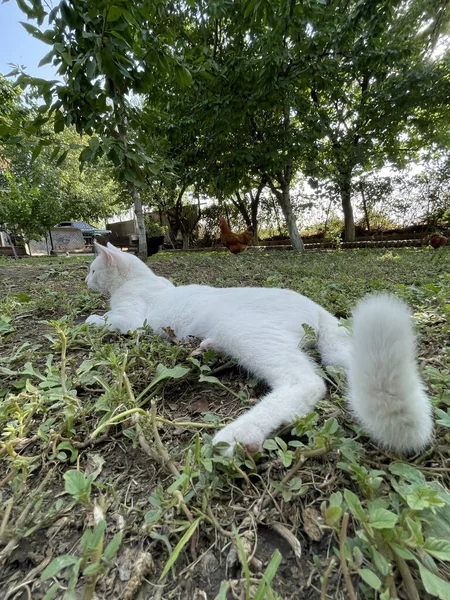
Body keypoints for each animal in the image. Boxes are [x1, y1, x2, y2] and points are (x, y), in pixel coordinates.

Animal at [84, 243, 432, 454]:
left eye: (92, 269)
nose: (86, 280)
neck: (137, 279)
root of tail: (317, 307)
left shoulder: (131, 320)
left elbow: (103, 320)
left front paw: (90, 318)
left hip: (242, 330)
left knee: (307, 382)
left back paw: (239, 435)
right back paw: (208, 348)